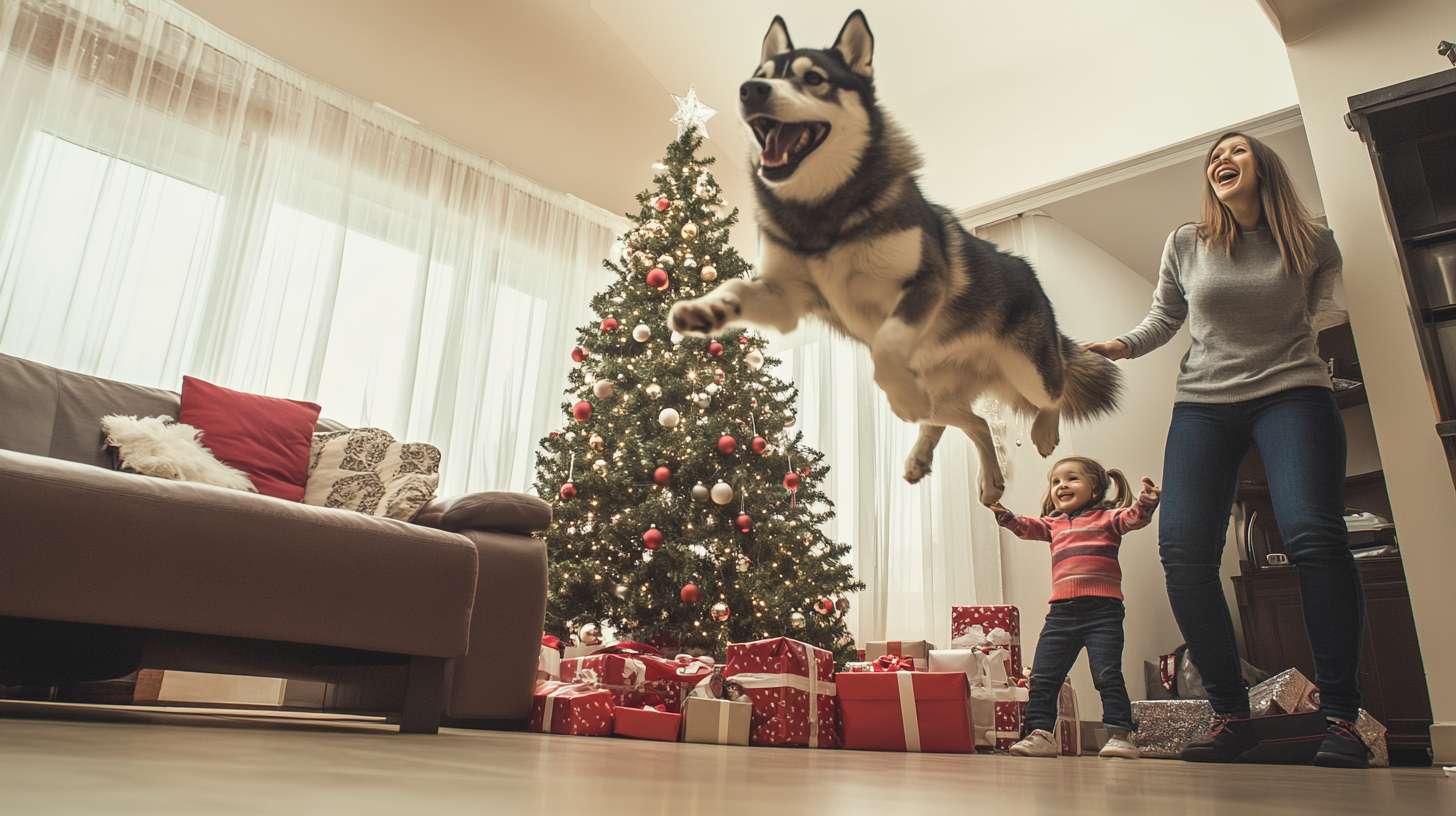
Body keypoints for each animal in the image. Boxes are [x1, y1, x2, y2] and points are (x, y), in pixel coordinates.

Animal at [666, 9, 1118, 504]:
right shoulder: (784, 297)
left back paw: (1042, 431)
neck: (822, 212)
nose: (750, 90)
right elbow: (734, 288)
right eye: (760, 75)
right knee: (973, 422)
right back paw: (967, 470)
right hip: (949, 392)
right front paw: (704, 309)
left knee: (1051, 392)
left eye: (813, 78)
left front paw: (900, 395)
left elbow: (886, 342)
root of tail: (1028, 270)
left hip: (1027, 367)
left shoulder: (925, 282)